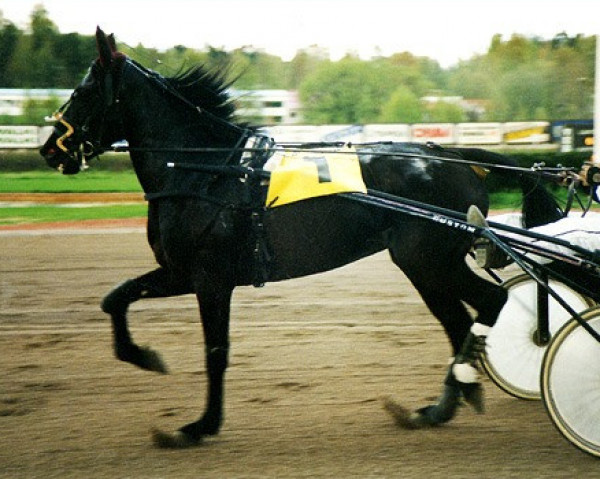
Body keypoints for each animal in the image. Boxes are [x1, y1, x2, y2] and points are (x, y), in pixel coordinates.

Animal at [39, 28, 560, 450]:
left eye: (83, 91)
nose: (49, 150)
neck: (206, 170)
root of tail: (456, 157)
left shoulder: (209, 278)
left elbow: (215, 352)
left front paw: (199, 426)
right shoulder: (181, 272)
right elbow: (115, 297)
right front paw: (143, 356)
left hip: (429, 259)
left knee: (489, 301)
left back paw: (463, 383)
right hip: (423, 266)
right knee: (456, 322)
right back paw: (441, 405)